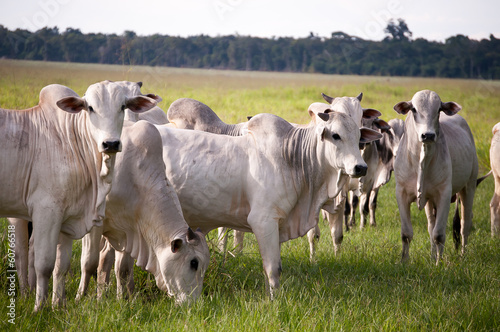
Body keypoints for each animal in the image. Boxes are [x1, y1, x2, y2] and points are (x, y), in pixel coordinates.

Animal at [0, 81, 157, 310]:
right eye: (90, 107)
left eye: (123, 106)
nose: (111, 144)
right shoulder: (46, 211)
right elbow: (44, 264)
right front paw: (39, 308)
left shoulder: (68, 216)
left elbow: (61, 266)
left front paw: (58, 305)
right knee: (21, 253)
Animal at [154, 111, 380, 296]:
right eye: (335, 135)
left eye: (359, 138)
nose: (360, 167)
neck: (293, 158)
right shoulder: (263, 221)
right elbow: (273, 268)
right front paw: (274, 301)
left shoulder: (278, 224)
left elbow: (272, 266)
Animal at [394, 89, 476, 264]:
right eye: (414, 109)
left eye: (439, 109)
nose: (428, 135)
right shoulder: (401, 193)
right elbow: (406, 234)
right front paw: (404, 262)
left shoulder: (444, 194)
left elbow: (439, 235)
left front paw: (439, 263)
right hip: (430, 200)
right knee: (431, 226)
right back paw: (432, 256)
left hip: (469, 187)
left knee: (464, 225)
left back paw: (462, 254)